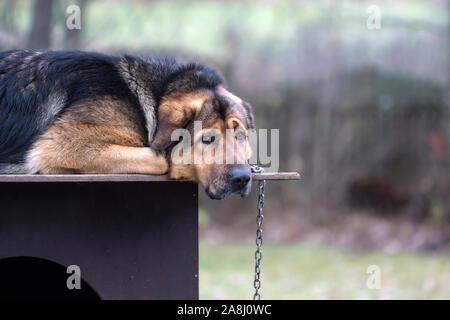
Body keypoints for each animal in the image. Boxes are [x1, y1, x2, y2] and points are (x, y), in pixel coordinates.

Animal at [0, 49, 253, 198]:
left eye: (240, 137)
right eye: (208, 139)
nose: (242, 178)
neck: (155, 94)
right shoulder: (62, 147)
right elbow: (161, 160)